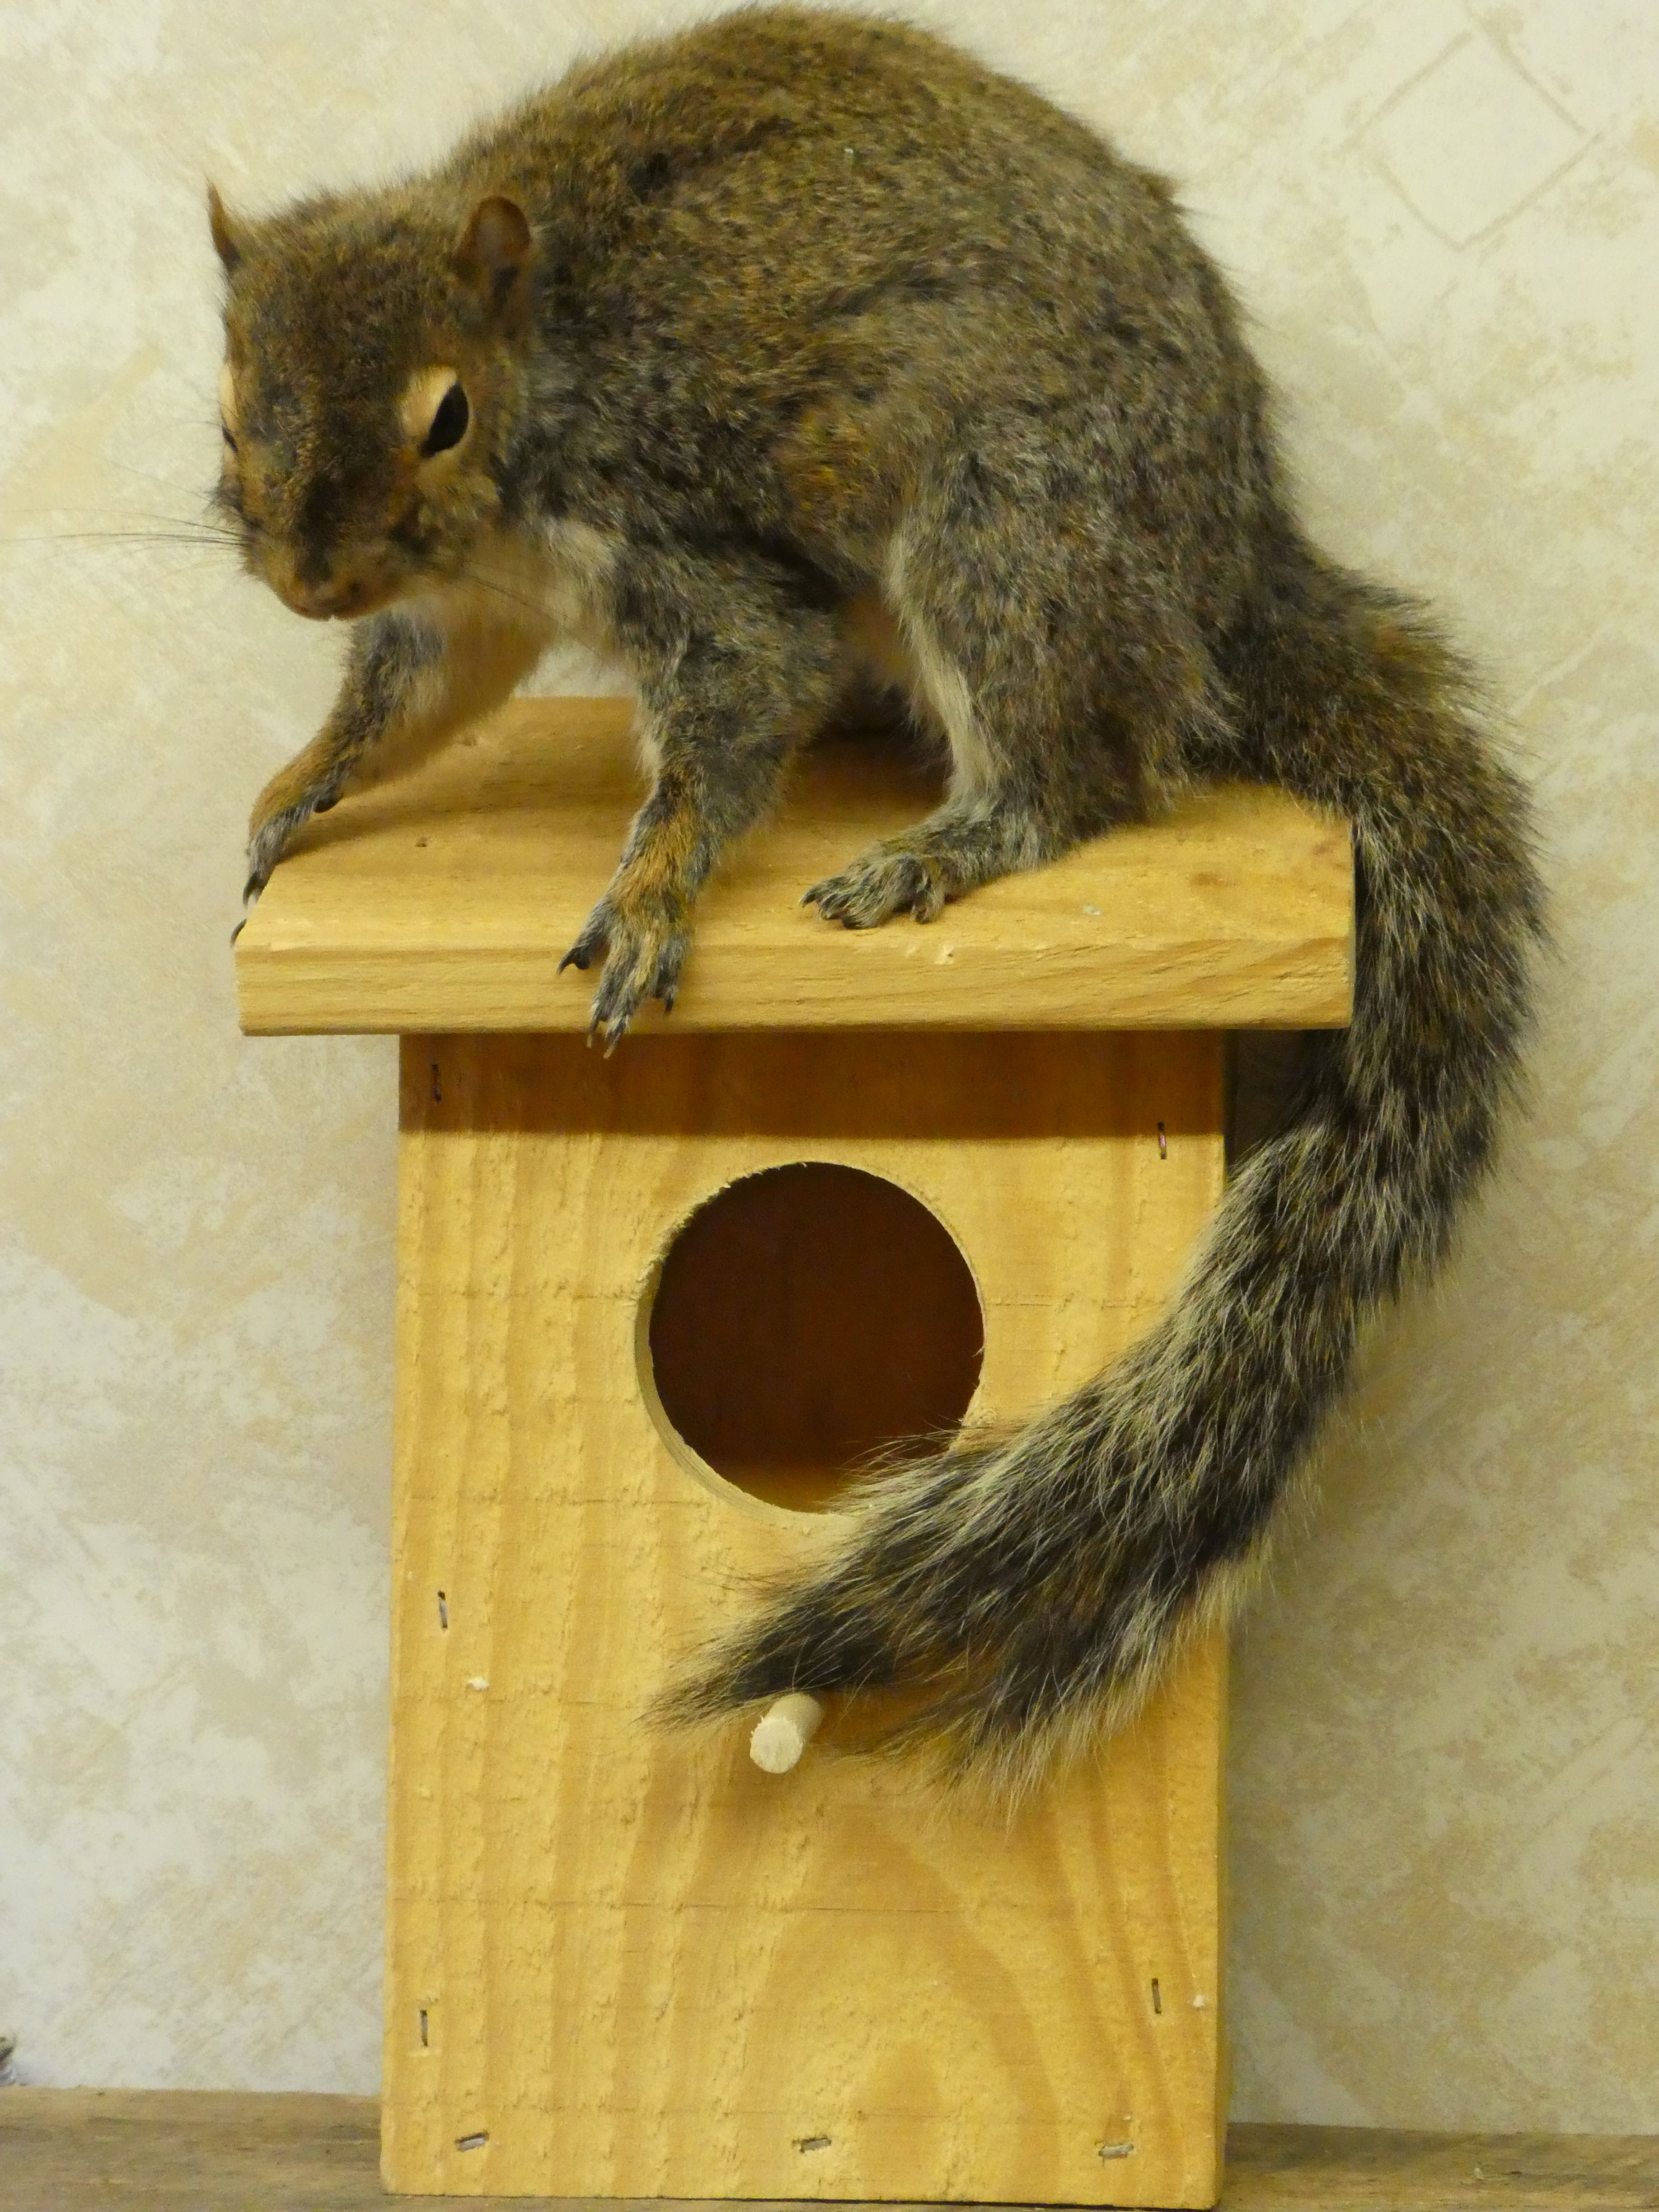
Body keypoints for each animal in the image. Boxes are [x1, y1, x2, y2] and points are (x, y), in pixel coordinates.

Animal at [214, 5, 1543, 1791]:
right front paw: (297, 789)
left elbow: (730, 708)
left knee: (1083, 768)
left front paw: (652, 890)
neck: (550, 363)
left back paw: (947, 843)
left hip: (1007, 533)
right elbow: (407, 703)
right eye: (233, 410)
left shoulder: (677, 539)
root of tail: (1227, 570)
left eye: (445, 414)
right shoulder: (459, 615)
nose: (309, 579)